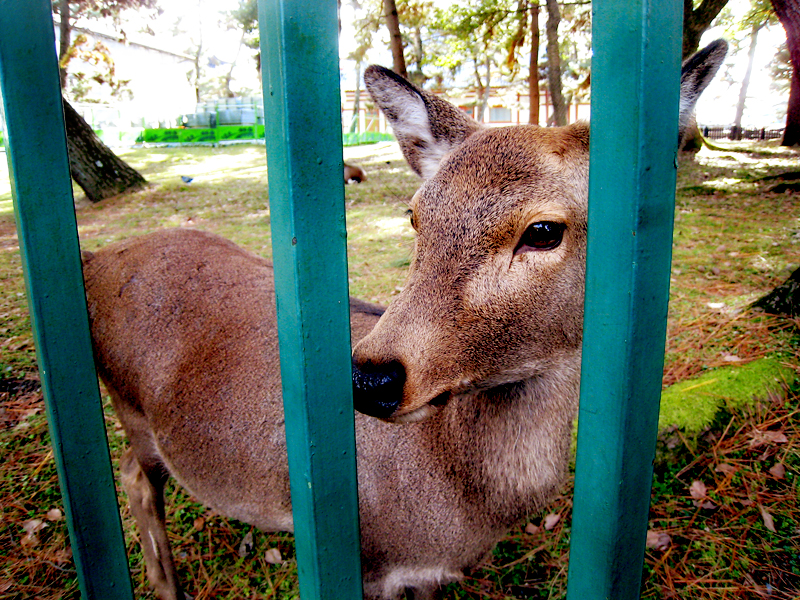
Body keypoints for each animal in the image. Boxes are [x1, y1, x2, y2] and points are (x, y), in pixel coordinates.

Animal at [79, 41, 724, 600]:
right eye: (415, 215)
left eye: (543, 230)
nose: (370, 378)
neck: (461, 511)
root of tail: (94, 259)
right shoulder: (368, 563)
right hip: (130, 409)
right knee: (134, 476)